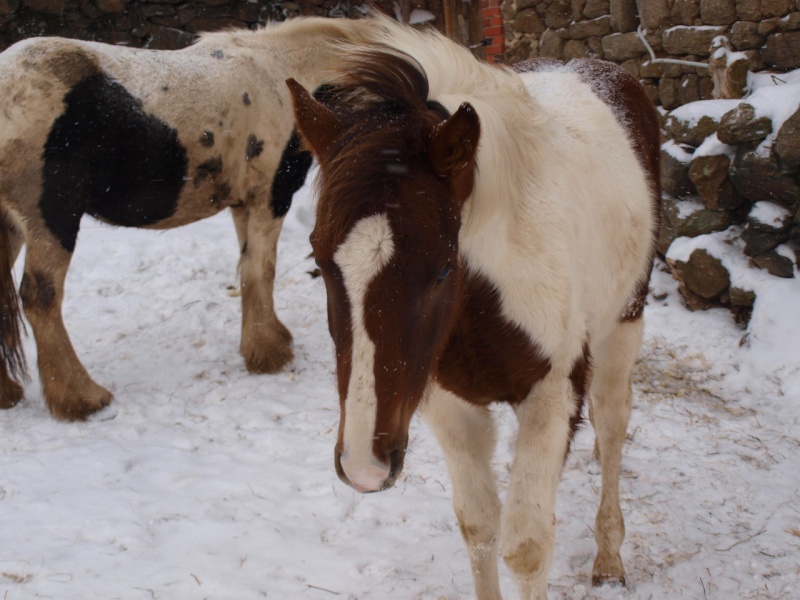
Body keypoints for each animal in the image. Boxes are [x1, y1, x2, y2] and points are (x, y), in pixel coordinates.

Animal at [0, 18, 380, 422]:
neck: (284, 74)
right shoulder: (269, 198)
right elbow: (261, 269)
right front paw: (270, 353)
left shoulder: (243, 203)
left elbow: (248, 268)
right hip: (51, 220)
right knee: (40, 298)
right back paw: (80, 397)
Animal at [290, 17, 660, 600]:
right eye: (320, 261)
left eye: (444, 267)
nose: (364, 467)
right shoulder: (448, 402)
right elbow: (478, 525)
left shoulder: (552, 395)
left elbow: (526, 547)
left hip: (625, 319)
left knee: (613, 419)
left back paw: (608, 557)